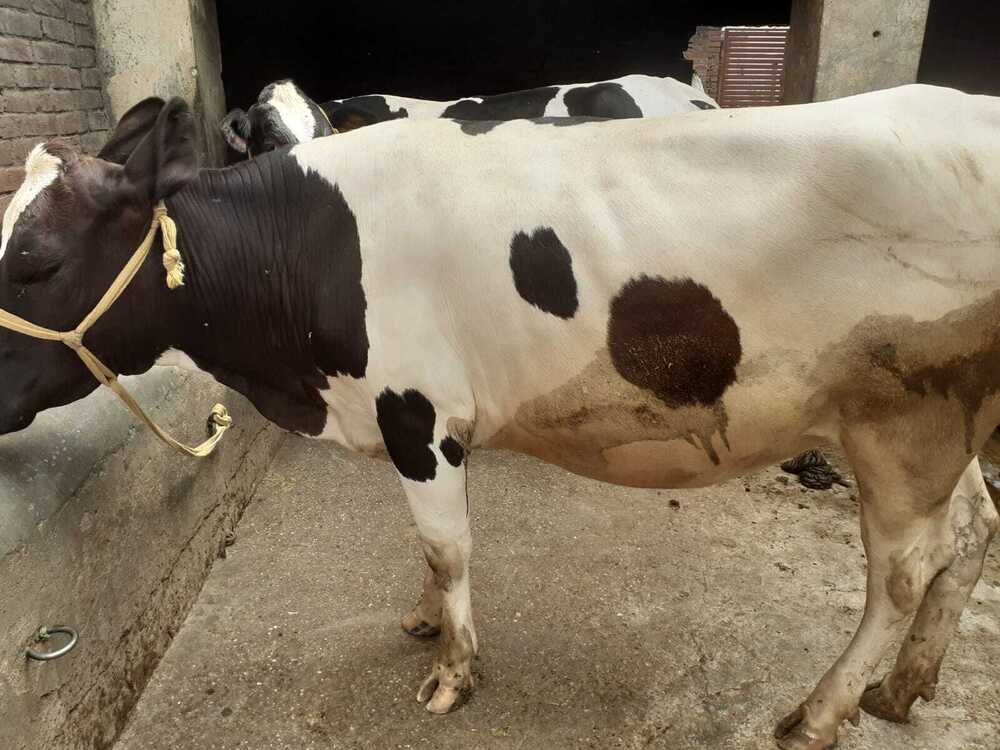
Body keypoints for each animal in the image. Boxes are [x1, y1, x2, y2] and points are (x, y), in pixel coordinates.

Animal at [1, 85, 998, 750]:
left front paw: (453, 673)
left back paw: (820, 712)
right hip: (941, 423)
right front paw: (423, 621)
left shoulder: (416, 412)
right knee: (974, 530)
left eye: (35, 264)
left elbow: (448, 548)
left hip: (901, 419)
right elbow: (429, 552)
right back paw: (904, 688)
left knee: (903, 570)